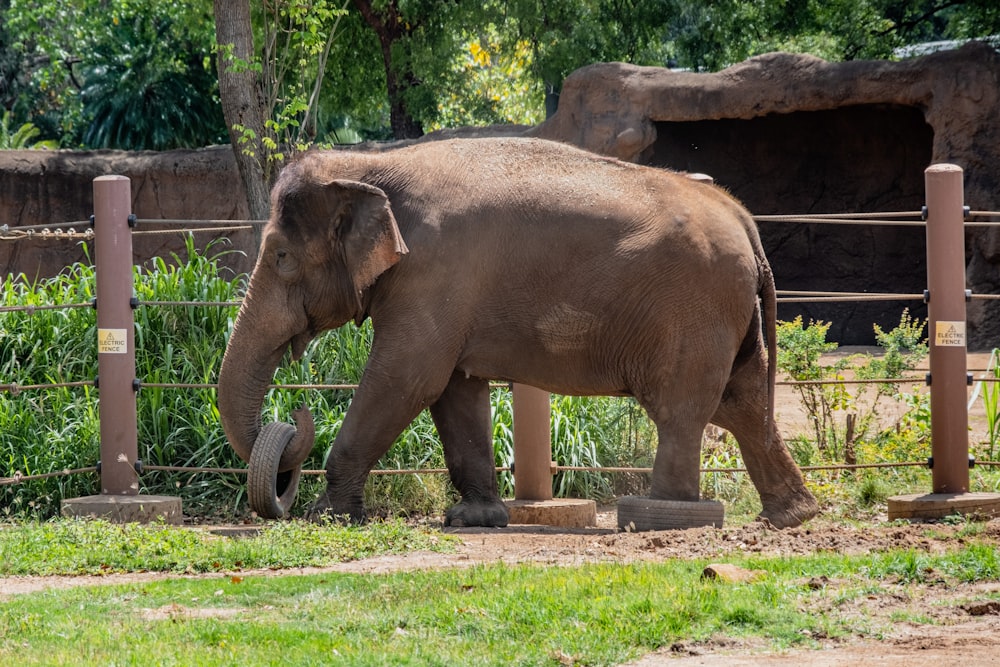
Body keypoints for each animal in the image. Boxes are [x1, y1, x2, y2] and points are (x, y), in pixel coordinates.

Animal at [215, 137, 816, 532]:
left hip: (695, 310)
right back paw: (791, 516)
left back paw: (661, 517)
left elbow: (406, 379)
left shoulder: (435, 272)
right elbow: (454, 389)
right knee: (742, 404)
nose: (293, 418)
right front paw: (474, 519)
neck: (373, 164)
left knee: (684, 408)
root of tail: (744, 220)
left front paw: (327, 517)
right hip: (729, 315)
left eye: (282, 257)